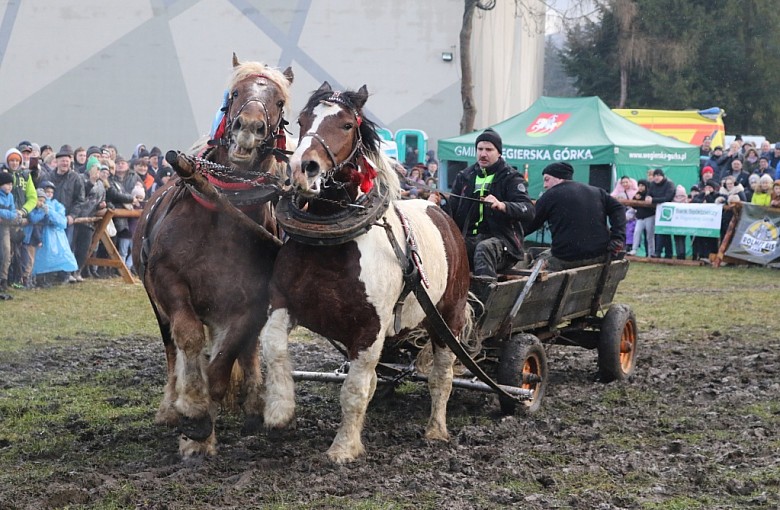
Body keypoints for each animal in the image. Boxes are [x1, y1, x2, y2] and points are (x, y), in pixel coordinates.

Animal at [133, 55, 294, 458]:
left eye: (279, 102)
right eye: (234, 93)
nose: (248, 127)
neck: (225, 211)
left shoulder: (249, 304)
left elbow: (223, 362)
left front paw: (203, 427)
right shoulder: (167, 280)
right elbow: (189, 338)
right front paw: (191, 409)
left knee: (248, 351)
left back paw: (251, 405)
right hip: (156, 303)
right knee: (171, 348)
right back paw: (169, 407)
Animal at [260, 82, 470, 462]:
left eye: (346, 125)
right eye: (301, 120)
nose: (302, 168)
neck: (331, 245)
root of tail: (438, 209)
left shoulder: (371, 329)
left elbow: (354, 389)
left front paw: (343, 448)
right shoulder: (283, 303)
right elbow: (274, 348)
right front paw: (279, 410)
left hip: (448, 317)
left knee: (441, 377)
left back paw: (436, 430)